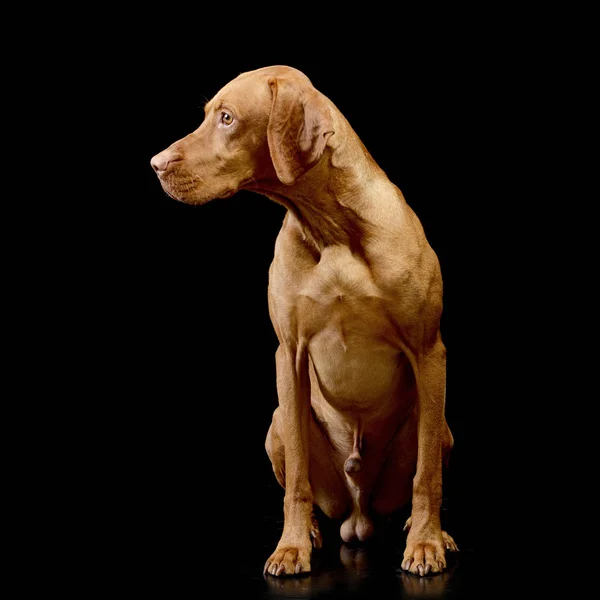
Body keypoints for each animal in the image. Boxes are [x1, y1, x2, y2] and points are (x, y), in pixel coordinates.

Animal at [150, 64, 454, 576]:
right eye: (209, 114)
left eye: (227, 118)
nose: (155, 163)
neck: (333, 229)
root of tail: (359, 513)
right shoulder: (288, 355)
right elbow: (296, 478)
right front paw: (291, 547)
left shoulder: (429, 351)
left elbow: (426, 473)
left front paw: (427, 543)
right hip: (274, 425)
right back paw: (311, 530)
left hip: (441, 425)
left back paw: (425, 529)